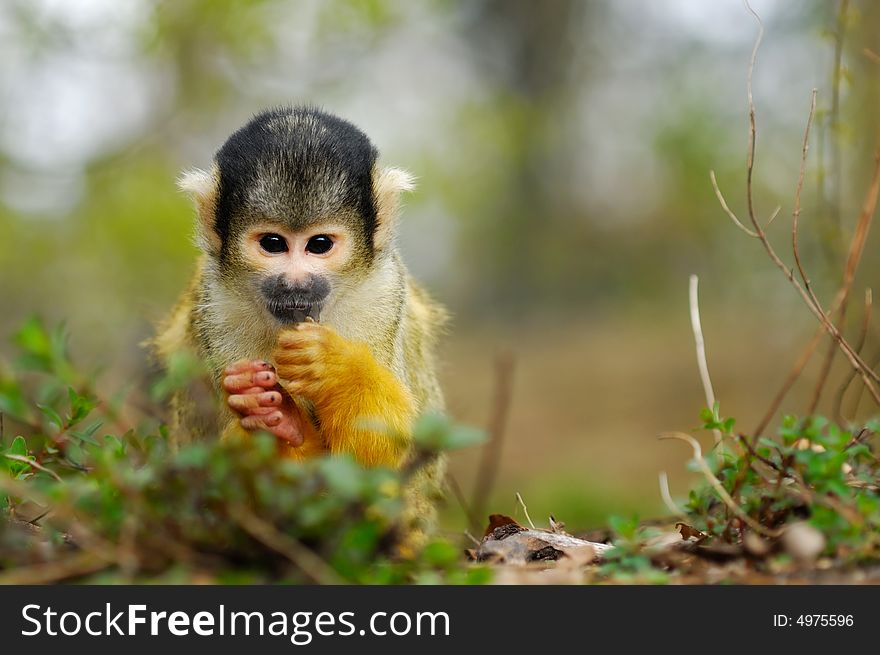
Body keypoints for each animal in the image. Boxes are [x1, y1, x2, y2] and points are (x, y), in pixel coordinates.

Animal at [155, 107, 446, 544]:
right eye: (273, 244)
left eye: (319, 244)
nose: (295, 283)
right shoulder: (217, 307)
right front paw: (278, 421)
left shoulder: (381, 295)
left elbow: (373, 452)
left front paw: (333, 368)